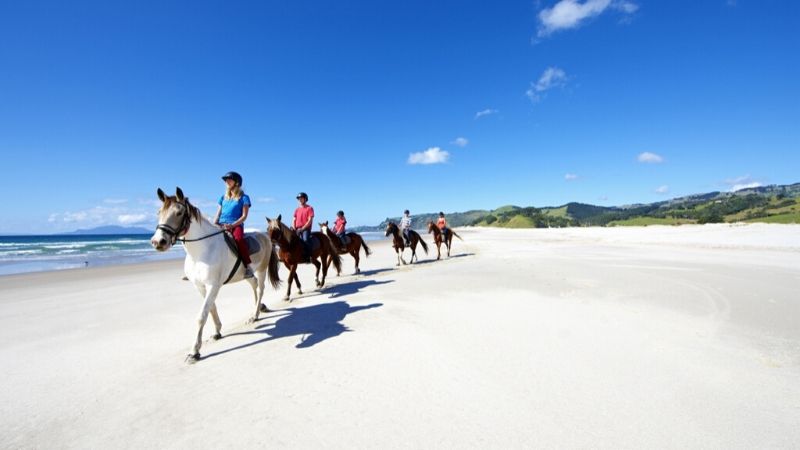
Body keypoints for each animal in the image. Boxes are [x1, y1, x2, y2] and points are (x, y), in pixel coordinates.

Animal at [151, 186, 282, 362]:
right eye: (159, 212)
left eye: (178, 213)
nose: (158, 242)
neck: (201, 250)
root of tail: (265, 236)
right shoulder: (200, 286)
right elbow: (211, 308)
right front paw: (217, 331)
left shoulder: (213, 285)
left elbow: (202, 316)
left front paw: (194, 351)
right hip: (246, 274)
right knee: (254, 285)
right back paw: (259, 308)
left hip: (261, 269)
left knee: (260, 289)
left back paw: (255, 314)